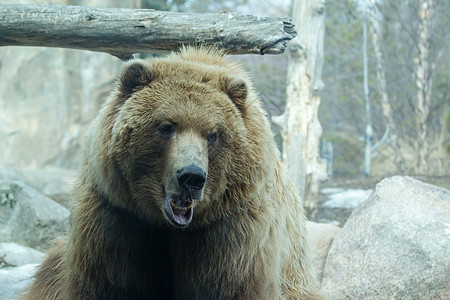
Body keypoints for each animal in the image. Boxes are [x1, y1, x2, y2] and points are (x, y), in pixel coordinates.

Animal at [24, 47, 322, 300]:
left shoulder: (230, 231)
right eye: (166, 126)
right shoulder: (116, 218)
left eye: (213, 134)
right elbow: (109, 283)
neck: (166, 223)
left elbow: (228, 285)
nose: (191, 177)